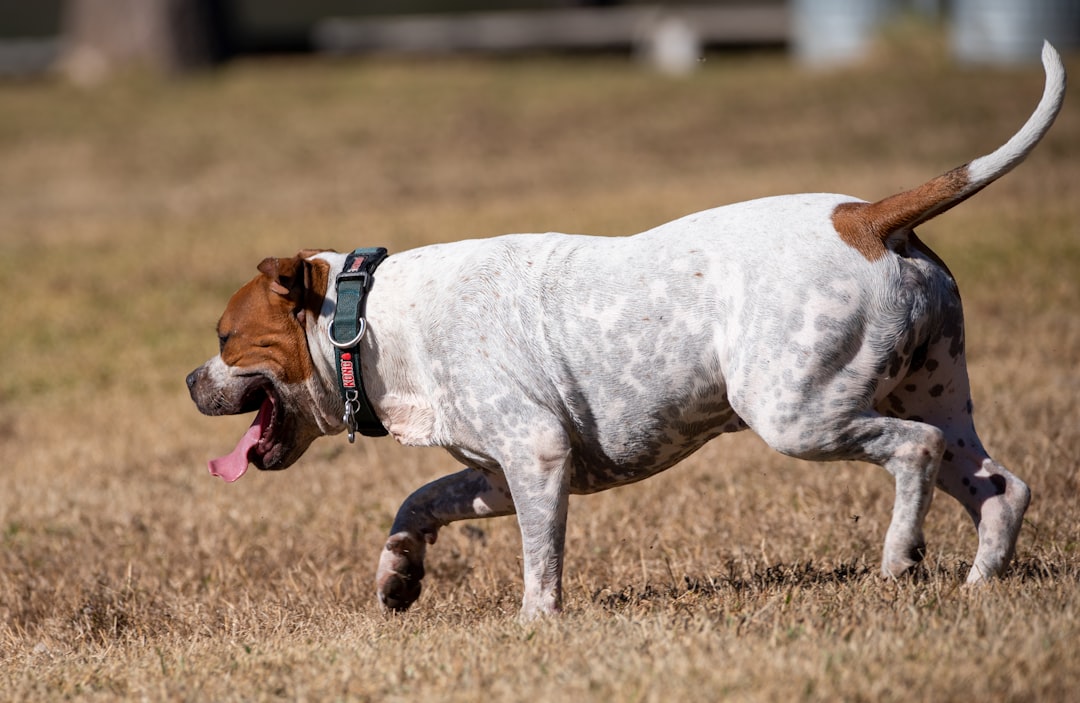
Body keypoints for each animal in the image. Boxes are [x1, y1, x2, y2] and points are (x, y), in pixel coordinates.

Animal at [190, 42, 1067, 617]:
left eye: (226, 337)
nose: (193, 380)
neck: (367, 319)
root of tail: (868, 217)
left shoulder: (537, 455)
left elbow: (540, 561)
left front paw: (536, 623)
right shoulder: (500, 470)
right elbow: (420, 499)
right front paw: (398, 574)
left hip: (799, 413)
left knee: (913, 451)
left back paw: (899, 557)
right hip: (934, 393)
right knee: (1000, 485)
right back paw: (979, 583)